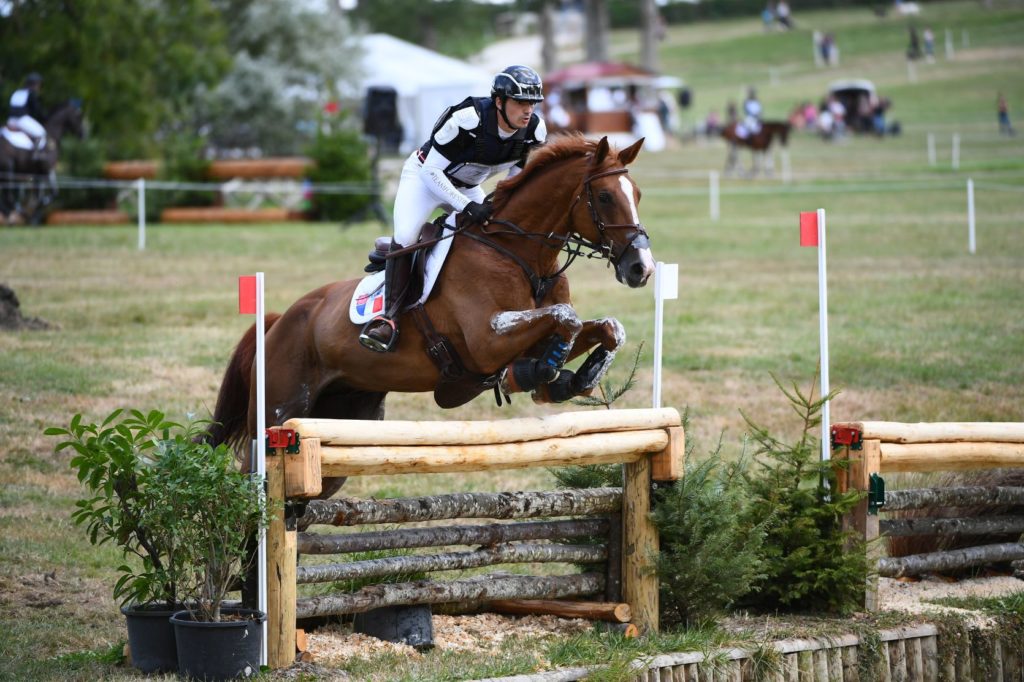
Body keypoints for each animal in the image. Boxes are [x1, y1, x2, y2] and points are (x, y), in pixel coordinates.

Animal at [209, 133, 655, 497]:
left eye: (637, 194)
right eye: (604, 197)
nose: (641, 268)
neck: (521, 255)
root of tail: (279, 321)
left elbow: (606, 327)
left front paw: (574, 377)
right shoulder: (487, 342)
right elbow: (566, 318)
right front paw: (540, 374)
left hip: (342, 424)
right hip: (276, 416)